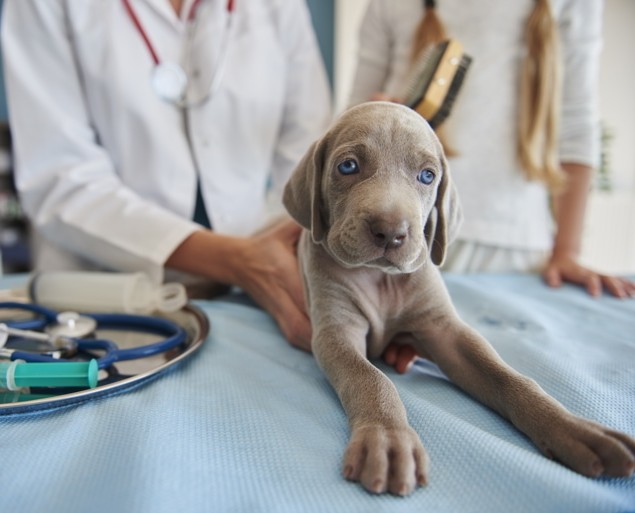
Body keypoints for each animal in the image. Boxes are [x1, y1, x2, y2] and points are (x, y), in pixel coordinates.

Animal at [284, 101, 635, 496]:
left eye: (427, 176)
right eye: (348, 167)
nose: (391, 232)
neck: (381, 279)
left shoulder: (445, 331)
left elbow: (508, 377)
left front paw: (572, 428)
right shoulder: (336, 333)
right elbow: (369, 378)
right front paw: (388, 439)